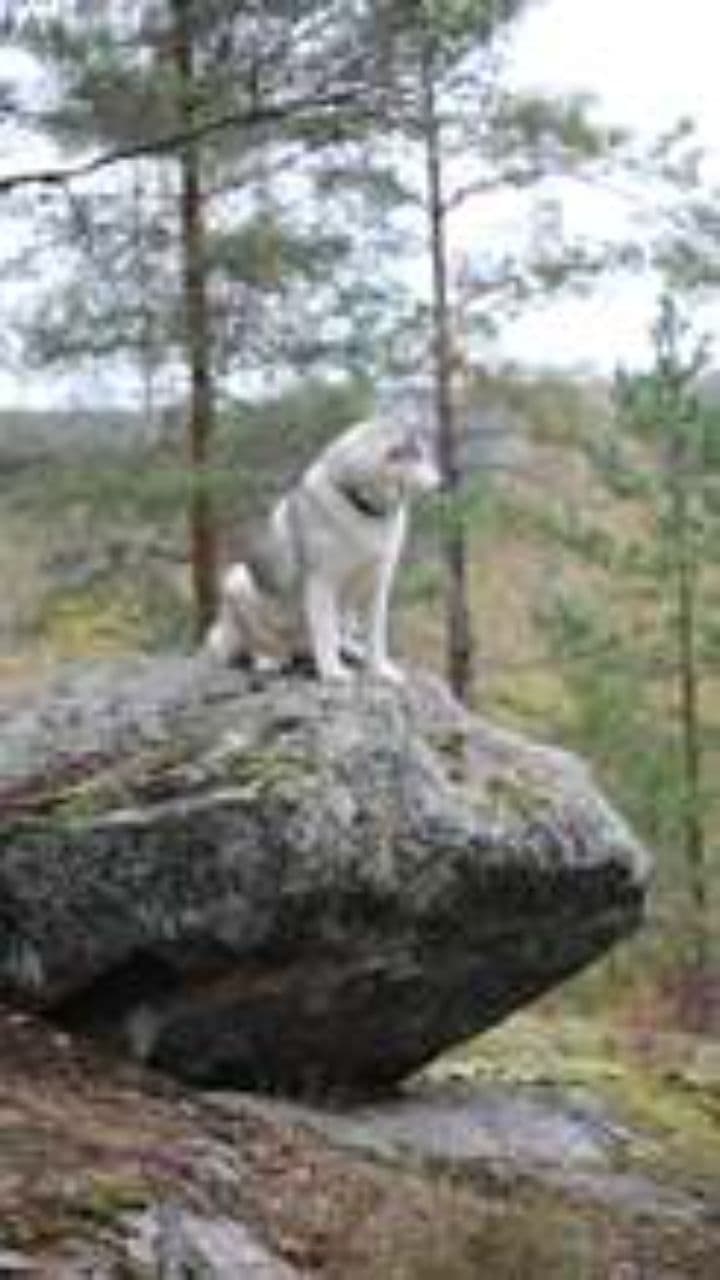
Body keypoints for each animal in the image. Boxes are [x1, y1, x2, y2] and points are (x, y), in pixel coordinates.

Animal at [205, 418, 439, 682]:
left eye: (425, 454)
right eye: (417, 456)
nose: (442, 483)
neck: (360, 505)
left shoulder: (378, 583)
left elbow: (376, 635)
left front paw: (381, 670)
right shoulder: (321, 583)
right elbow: (325, 632)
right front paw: (334, 672)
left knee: (340, 635)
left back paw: (350, 650)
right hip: (237, 581)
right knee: (260, 644)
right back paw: (270, 659)